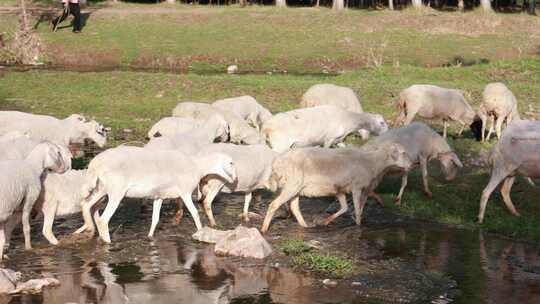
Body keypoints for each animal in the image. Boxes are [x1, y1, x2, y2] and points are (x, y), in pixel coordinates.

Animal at [76, 146, 236, 243]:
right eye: (231, 163)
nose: (235, 179)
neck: (197, 167)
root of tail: (96, 163)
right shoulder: (184, 192)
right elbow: (195, 213)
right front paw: (200, 231)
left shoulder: (159, 196)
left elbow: (155, 219)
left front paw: (150, 236)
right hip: (116, 191)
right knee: (103, 220)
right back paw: (107, 242)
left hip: (101, 189)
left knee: (86, 205)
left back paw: (90, 229)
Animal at [260, 143, 412, 233]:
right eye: (403, 152)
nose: (411, 165)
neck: (373, 163)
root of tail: (277, 161)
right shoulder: (356, 187)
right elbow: (357, 210)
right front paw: (358, 225)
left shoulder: (340, 189)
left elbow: (345, 208)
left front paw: (325, 221)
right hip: (292, 185)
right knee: (274, 205)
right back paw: (264, 229)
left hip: (296, 187)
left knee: (294, 207)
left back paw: (305, 226)